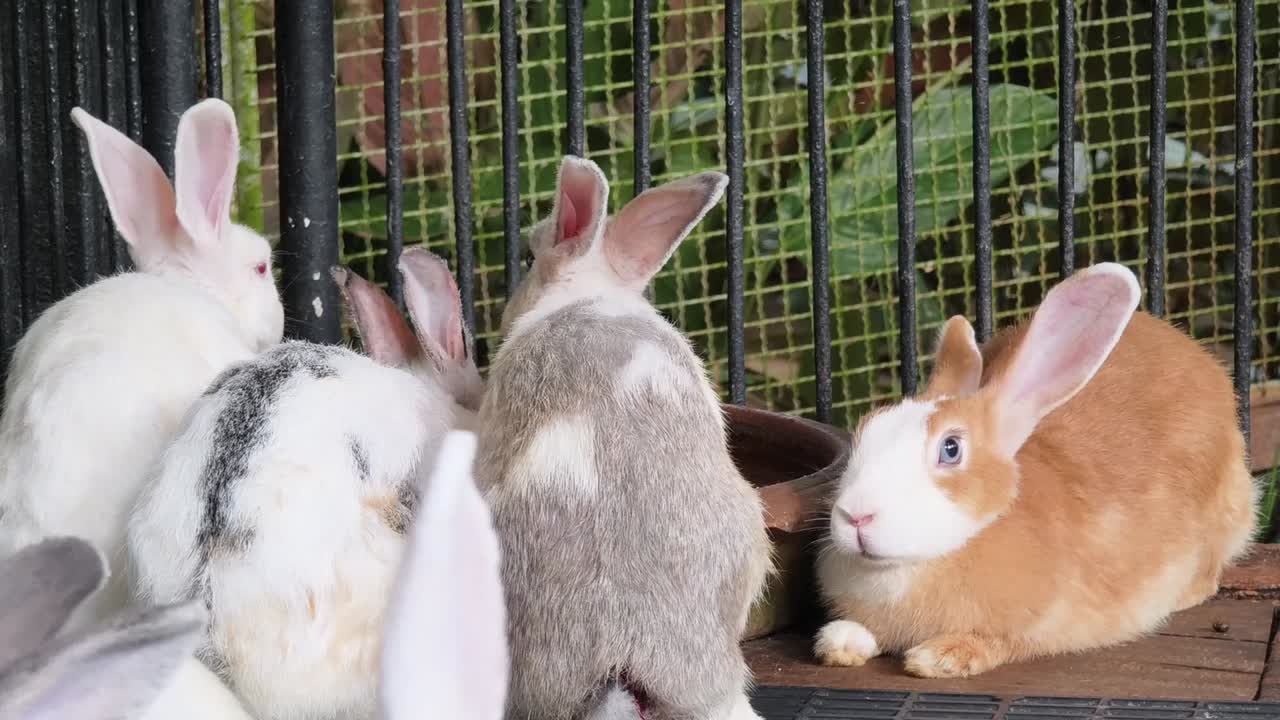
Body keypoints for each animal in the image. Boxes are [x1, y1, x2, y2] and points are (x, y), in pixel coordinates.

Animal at [814, 262, 1259, 679]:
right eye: (866, 428)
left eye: (951, 449)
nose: (856, 516)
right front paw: (838, 642)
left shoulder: (1041, 625)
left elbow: (998, 642)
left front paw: (939, 657)